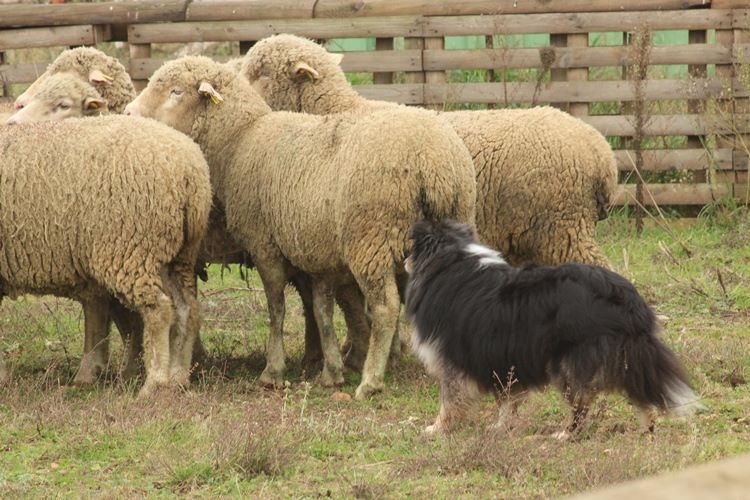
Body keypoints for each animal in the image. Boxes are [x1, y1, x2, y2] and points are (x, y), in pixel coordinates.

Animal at [0, 114, 212, 394]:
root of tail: (189, 170)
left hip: (131, 248)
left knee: (159, 311)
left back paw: (154, 383)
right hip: (175, 256)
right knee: (187, 309)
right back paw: (177, 377)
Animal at [123, 55, 476, 398]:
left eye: (176, 92)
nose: (127, 113)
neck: (240, 139)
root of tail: (434, 162)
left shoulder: (264, 244)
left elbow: (276, 308)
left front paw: (273, 372)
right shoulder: (315, 251)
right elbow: (321, 310)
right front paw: (331, 372)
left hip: (371, 239)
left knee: (385, 307)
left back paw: (371, 381)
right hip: (455, 221)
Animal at [408, 219, 704, 438]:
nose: (402, 259)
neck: (451, 258)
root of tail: (627, 299)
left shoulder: (454, 359)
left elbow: (450, 400)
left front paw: (436, 428)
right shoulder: (505, 358)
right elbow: (507, 400)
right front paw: (500, 426)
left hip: (568, 361)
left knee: (582, 403)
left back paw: (565, 434)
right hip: (627, 355)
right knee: (640, 392)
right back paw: (646, 428)